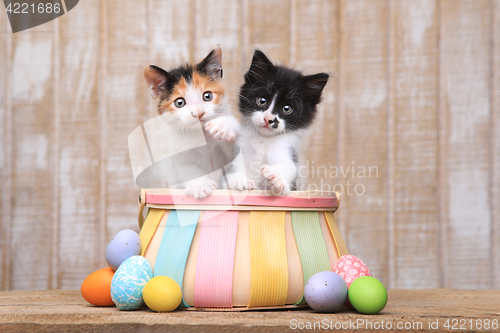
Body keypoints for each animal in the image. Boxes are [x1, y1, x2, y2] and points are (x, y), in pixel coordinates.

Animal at [145, 46, 238, 197]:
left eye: (207, 96)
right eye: (180, 102)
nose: (199, 113)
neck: (202, 135)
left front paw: (223, 126)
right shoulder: (178, 154)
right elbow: (188, 168)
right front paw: (201, 186)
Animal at [229, 49, 330, 195]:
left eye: (286, 109)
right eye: (262, 100)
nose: (268, 119)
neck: (264, 141)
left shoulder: (286, 152)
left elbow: (288, 167)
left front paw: (276, 176)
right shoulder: (240, 148)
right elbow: (234, 166)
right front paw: (239, 180)